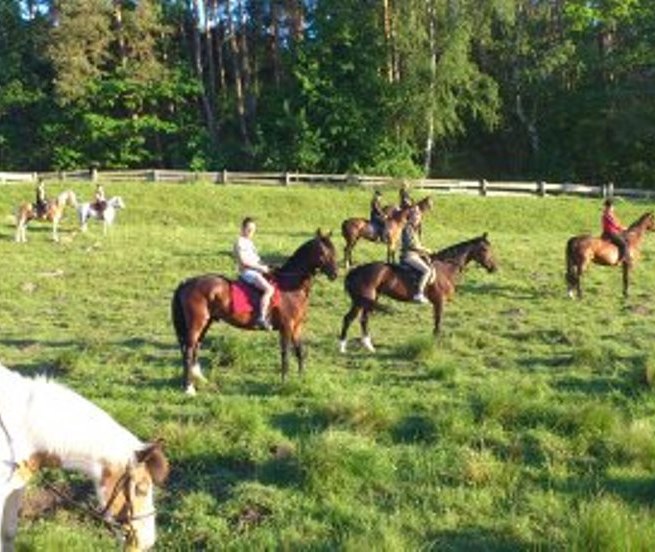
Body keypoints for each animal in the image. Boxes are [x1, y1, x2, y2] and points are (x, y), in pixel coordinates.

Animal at [169, 231, 338, 394]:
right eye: (323, 251)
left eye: (334, 250)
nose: (335, 274)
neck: (289, 286)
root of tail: (188, 282)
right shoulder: (286, 327)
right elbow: (285, 354)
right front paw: (284, 382)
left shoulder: (297, 326)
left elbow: (299, 352)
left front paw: (301, 379)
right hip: (197, 323)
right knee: (189, 350)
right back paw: (189, 387)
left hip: (207, 322)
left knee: (196, 346)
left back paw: (200, 379)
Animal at [338, 233, 498, 354]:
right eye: (484, 249)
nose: (494, 268)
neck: (446, 267)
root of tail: (357, 270)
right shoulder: (439, 302)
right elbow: (438, 323)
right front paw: (436, 344)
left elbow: (437, 323)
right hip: (361, 301)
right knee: (350, 319)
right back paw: (342, 348)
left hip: (367, 300)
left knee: (362, 320)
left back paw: (368, 347)